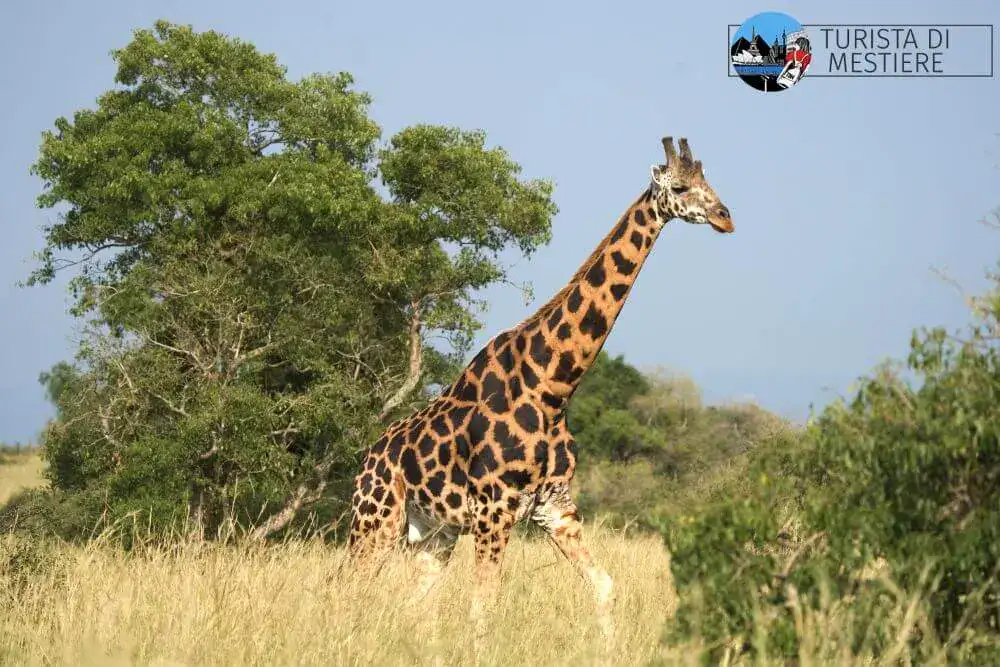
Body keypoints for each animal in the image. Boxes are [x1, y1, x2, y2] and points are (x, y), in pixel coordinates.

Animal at [348, 135, 733, 643]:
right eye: (681, 186)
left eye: (709, 180)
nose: (725, 216)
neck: (552, 388)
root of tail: (367, 458)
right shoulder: (494, 508)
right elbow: (484, 603)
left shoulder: (556, 508)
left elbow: (604, 586)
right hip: (377, 518)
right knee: (345, 587)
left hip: (433, 532)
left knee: (412, 602)